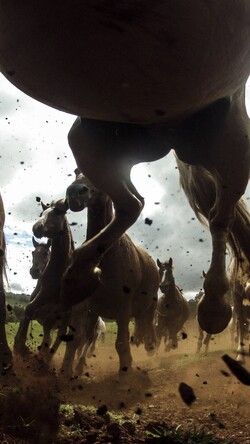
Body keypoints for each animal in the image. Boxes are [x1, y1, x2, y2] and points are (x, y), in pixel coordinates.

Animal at [0, 1, 249, 334]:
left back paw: (214, 307)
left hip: (233, 142)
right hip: (88, 139)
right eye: (73, 174)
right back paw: (78, 278)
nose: (75, 194)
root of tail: (168, 132)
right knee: (134, 203)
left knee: (220, 217)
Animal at [60, 168, 158, 376]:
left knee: (149, 328)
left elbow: (121, 343)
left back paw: (151, 349)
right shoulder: (84, 306)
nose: (75, 193)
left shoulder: (123, 308)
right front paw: (65, 372)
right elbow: (76, 340)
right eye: (76, 172)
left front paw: (125, 372)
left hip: (150, 306)